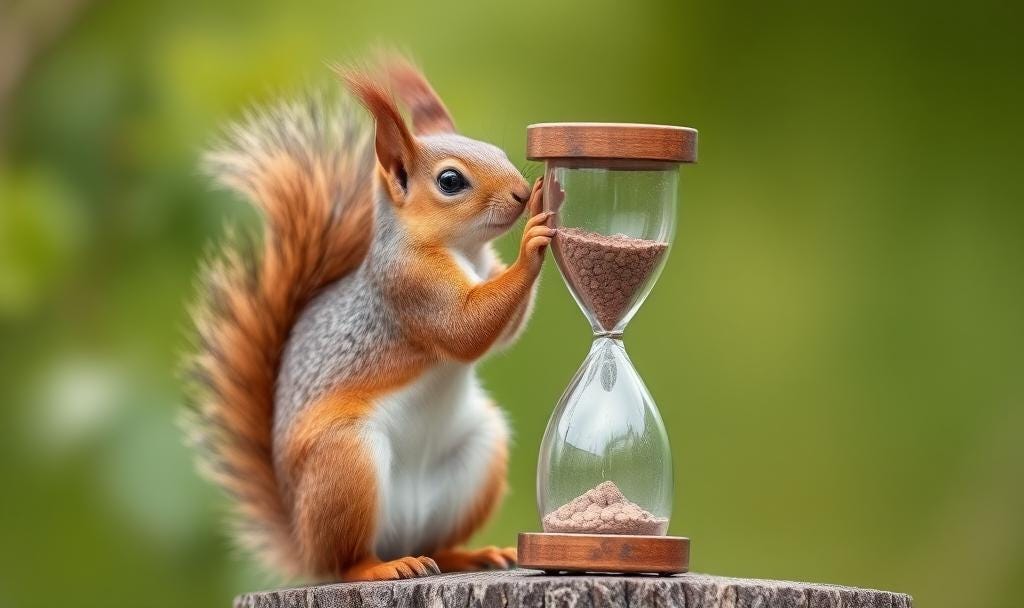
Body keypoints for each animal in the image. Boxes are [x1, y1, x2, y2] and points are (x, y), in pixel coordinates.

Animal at [184, 57, 555, 582]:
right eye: (450, 181)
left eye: (500, 151)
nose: (522, 193)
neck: (464, 251)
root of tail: (304, 546)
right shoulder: (409, 287)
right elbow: (464, 330)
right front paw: (534, 237)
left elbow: (502, 334)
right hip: (347, 462)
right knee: (346, 560)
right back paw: (380, 568)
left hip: (479, 453)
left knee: (436, 545)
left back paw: (468, 555)